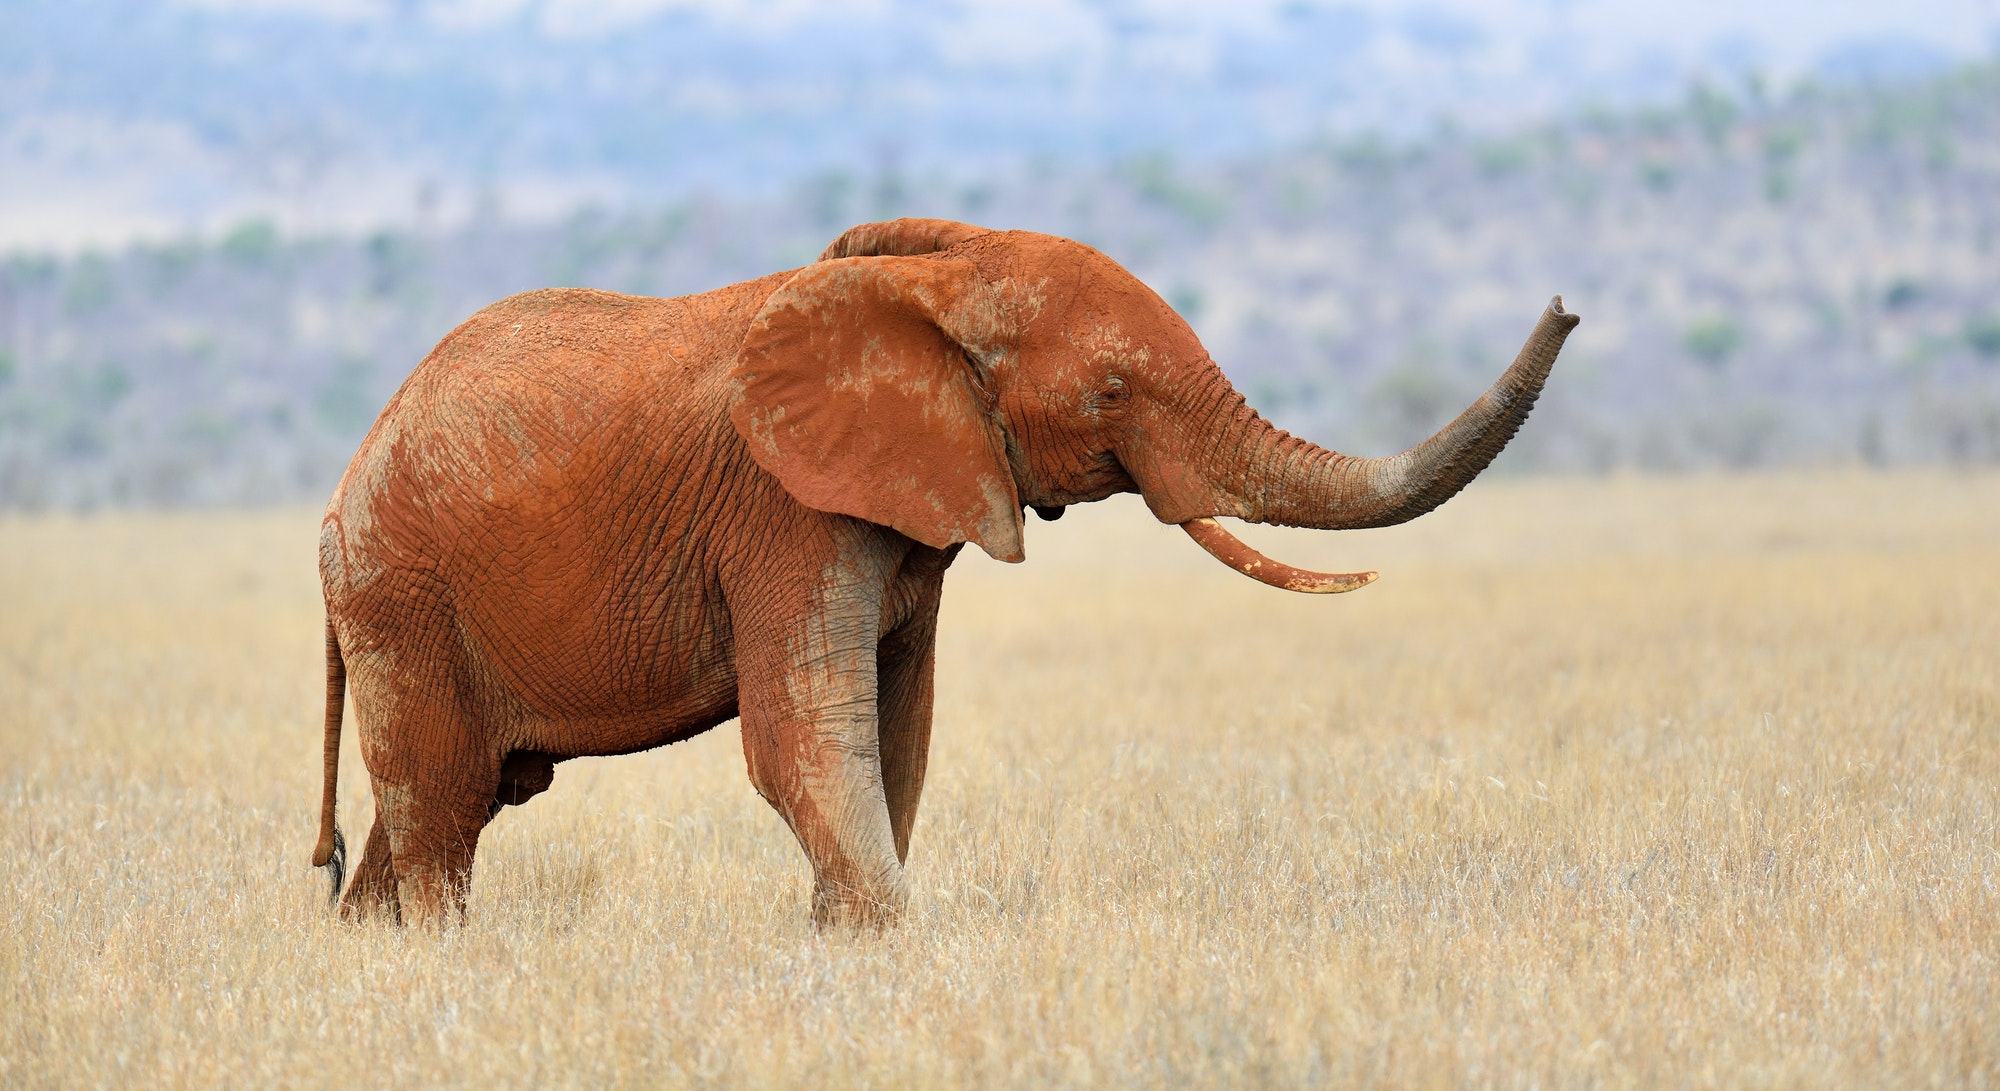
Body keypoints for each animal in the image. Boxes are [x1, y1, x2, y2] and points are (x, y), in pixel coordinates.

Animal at [304, 218, 1576, 927]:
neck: (940, 278)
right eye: (1109, 391)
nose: (1568, 302)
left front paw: (843, 943)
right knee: (438, 807)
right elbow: (808, 737)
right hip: (403, 595)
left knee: (444, 807)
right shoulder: (784, 514)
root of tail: (337, 488)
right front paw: (877, 940)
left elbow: (897, 725)